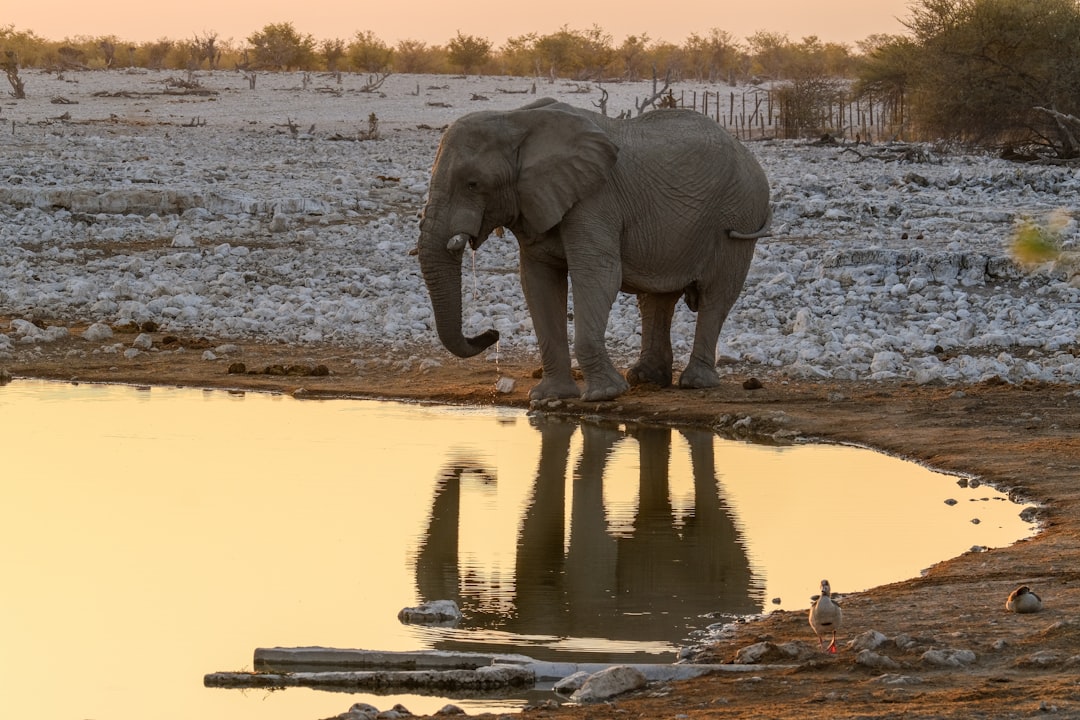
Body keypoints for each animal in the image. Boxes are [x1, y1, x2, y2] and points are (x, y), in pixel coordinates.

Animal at [417, 97, 771, 401]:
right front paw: (549, 398)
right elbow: (538, 280)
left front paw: (605, 394)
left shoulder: (595, 199)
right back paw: (645, 379)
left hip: (739, 213)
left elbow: (597, 274)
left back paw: (695, 383)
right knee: (656, 298)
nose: (492, 333)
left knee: (716, 295)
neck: (515, 119)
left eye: (473, 184)